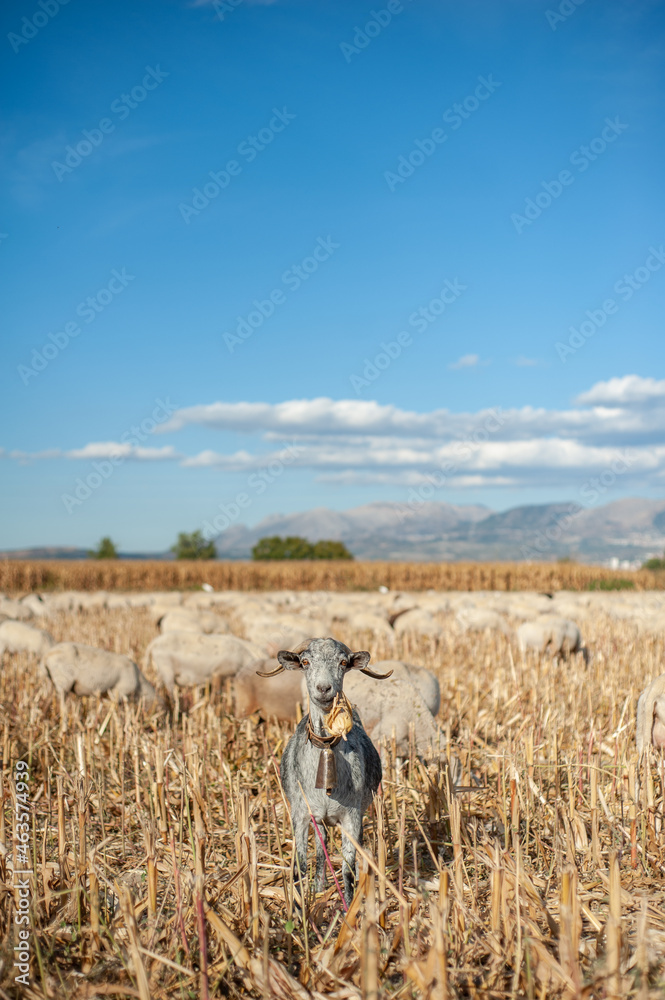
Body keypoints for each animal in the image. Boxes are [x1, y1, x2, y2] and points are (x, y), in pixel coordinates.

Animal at [259, 637, 391, 905]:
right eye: (305, 662)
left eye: (342, 662)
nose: (324, 688)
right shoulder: (301, 815)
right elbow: (300, 866)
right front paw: (300, 906)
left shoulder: (352, 817)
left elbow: (348, 868)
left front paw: (349, 908)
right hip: (318, 820)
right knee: (321, 852)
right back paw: (319, 888)